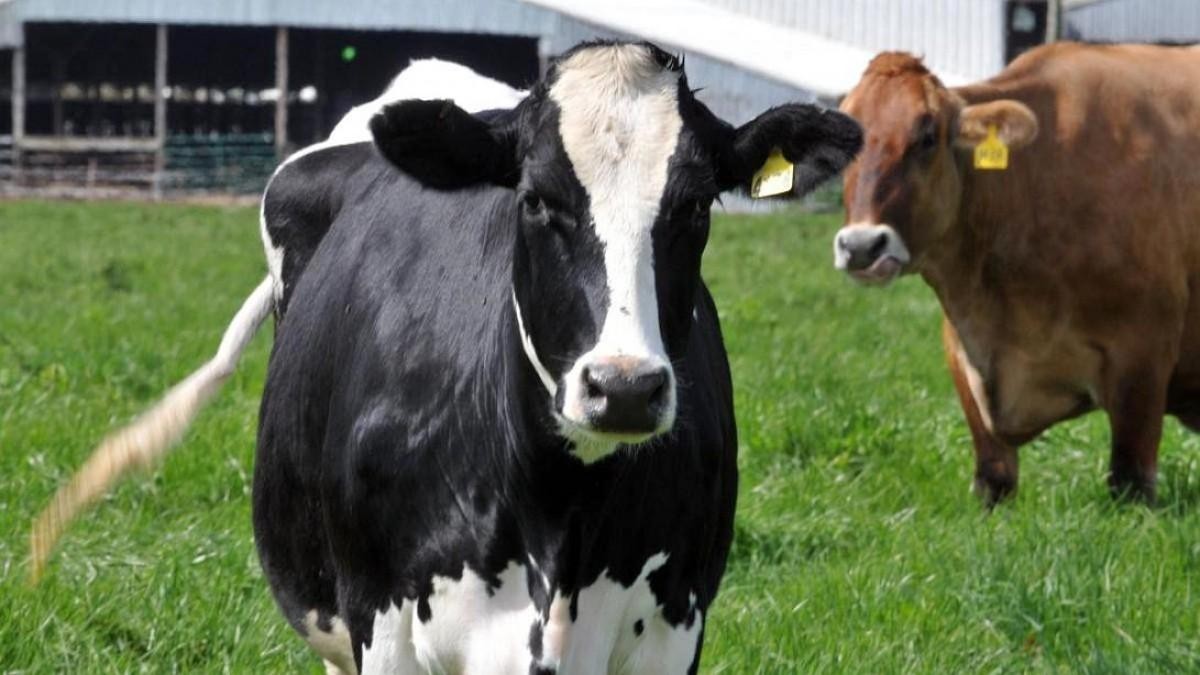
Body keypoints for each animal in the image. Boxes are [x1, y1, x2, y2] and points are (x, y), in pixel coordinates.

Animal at [840, 42, 1200, 502]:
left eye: (927, 137)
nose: (861, 245)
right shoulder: (963, 355)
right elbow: (993, 479)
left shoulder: (1143, 355)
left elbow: (1130, 480)